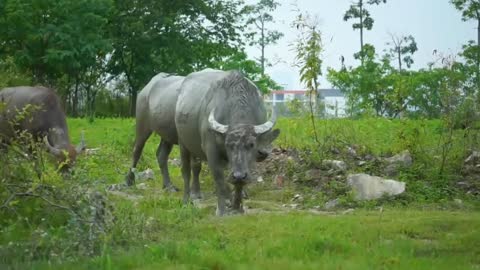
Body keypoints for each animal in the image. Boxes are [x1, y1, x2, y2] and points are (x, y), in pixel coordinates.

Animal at [175, 69, 282, 215]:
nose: (238, 175)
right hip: (183, 144)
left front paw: (237, 207)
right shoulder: (211, 150)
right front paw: (221, 210)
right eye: (227, 145)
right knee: (186, 170)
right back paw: (186, 200)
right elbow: (219, 178)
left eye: (252, 144)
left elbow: (239, 182)